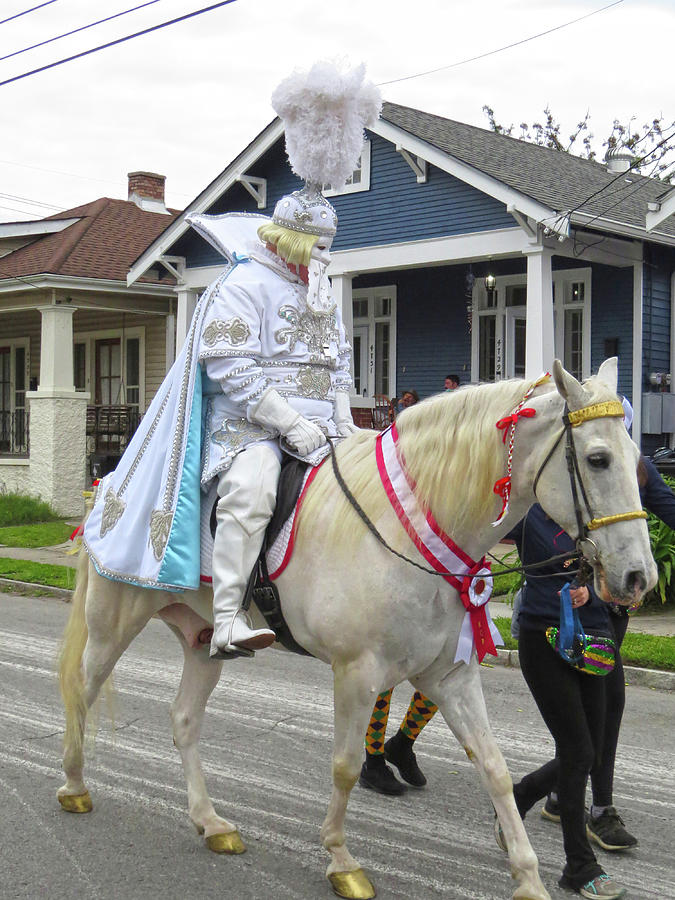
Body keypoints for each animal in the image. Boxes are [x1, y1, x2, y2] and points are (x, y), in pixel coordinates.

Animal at [56, 358, 656, 900]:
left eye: (637, 460)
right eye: (598, 459)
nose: (638, 577)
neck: (409, 526)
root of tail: (107, 482)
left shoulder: (451, 676)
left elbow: (495, 767)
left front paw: (528, 878)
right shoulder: (357, 673)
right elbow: (345, 767)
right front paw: (341, 859)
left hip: (205, 646)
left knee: (183, 721)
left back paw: (210, 822)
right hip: (113, 624)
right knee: (81, 691)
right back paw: (74, 785)